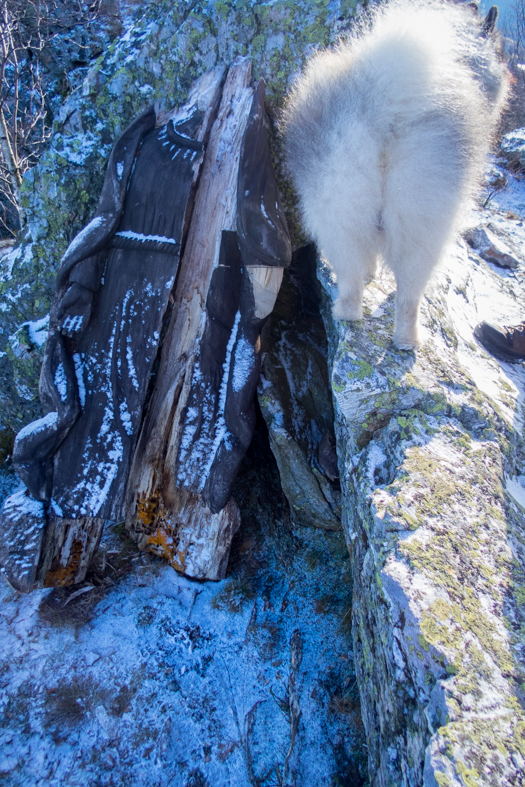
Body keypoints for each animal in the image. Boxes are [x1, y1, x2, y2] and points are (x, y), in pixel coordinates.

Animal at [282, 0, 508, 348]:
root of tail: (389, 100)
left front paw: (371, 273)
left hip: (345, 209)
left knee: (362, 279)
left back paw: (362, 320)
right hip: (419, 217)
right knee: (405, 292)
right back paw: (401, 337)